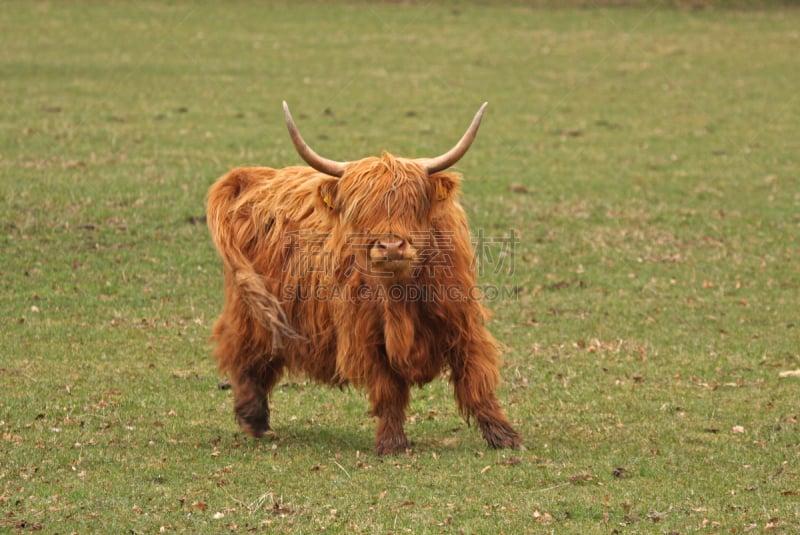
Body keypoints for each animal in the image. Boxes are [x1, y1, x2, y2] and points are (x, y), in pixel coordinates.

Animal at [206, 101, 520, 456]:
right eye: (361, 211)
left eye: (412, 204)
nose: (391, 246)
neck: (402, 296)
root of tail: (252, 176)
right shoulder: (367, 333)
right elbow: (388, 389)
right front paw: (392, 442)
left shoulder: (463, 321)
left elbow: (476, 377)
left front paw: (504, 435)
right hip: (253, 305)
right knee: (242, 350)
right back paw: (254, 418)